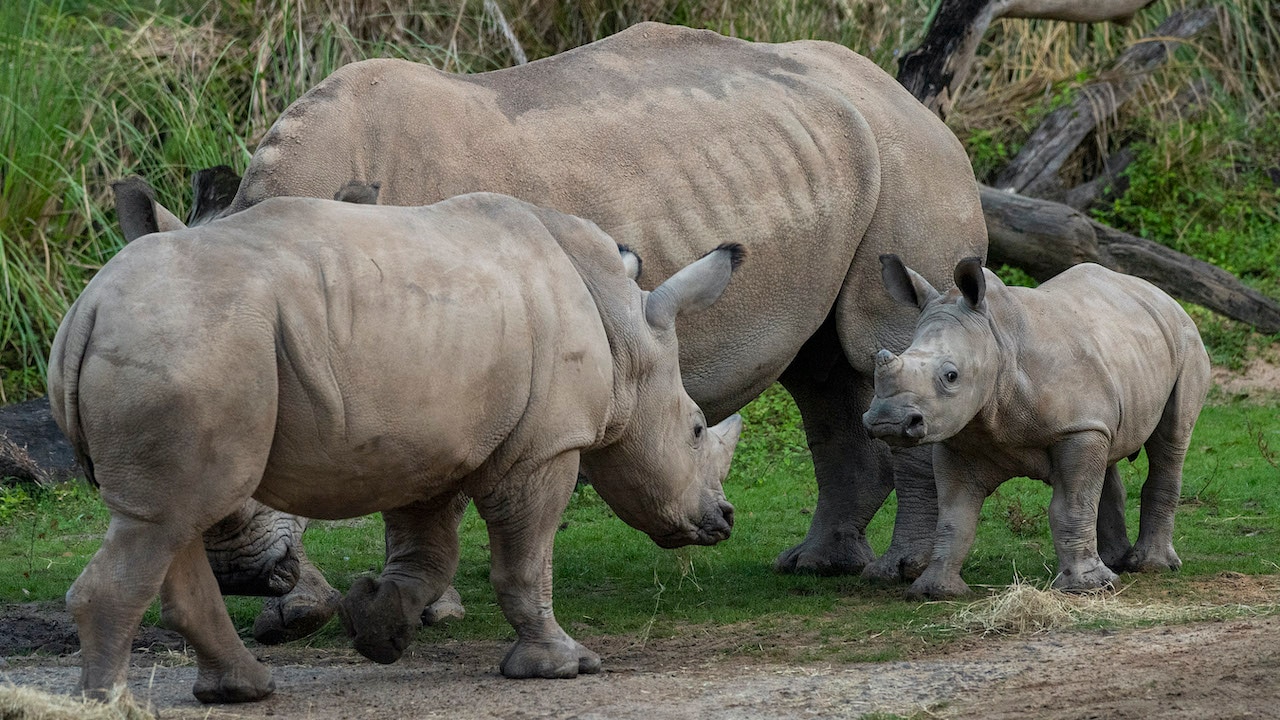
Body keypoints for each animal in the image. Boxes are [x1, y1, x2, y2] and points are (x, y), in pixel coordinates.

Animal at [48, 184, 744, 703]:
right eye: (696, 429)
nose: (724, 518)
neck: (625, 335)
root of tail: (87, 308)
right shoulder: (544, 447)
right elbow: (525, 558)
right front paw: (563, 667)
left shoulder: (428, 444)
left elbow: (425, 553)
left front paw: (375, 627)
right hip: (188, 343)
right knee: (167, 521)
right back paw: (112, 705)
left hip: (181, 343)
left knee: (170, 519)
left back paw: (243, 691)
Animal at [863, 255, 1210, 599]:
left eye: (951, 376)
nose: (888, 421)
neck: (996, 339)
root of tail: (1162, 296)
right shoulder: (959, 438)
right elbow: (954, 516)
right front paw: (935, 591)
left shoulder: (1075, 428)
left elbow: (1071, 506)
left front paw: (1086, 589)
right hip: (1118, 358)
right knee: (1108, 449)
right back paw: (1115, 563)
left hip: (1187, 342)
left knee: (1170, 440)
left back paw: (1151, 566)